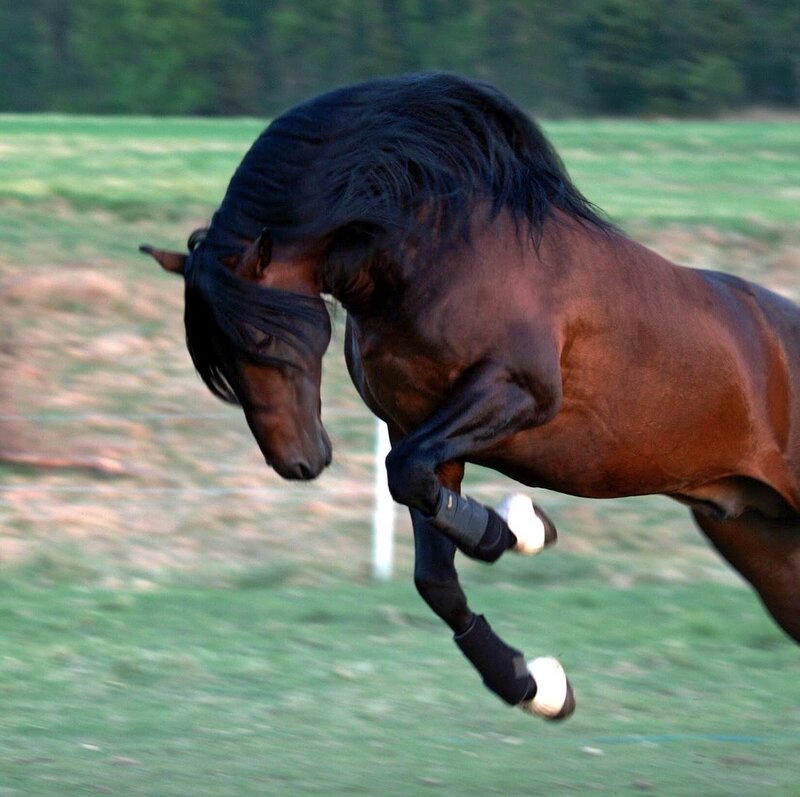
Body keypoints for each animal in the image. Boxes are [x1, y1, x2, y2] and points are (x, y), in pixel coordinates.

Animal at [141, 73, 800, 720]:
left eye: (259, 337)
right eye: (217, 362)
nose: (298, 462)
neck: (436, 255)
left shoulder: (515, 394)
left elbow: (405, 475)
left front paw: (514, 530)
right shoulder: (418, 426)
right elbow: (431, 565)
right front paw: (532, 682)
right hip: (763, 542)